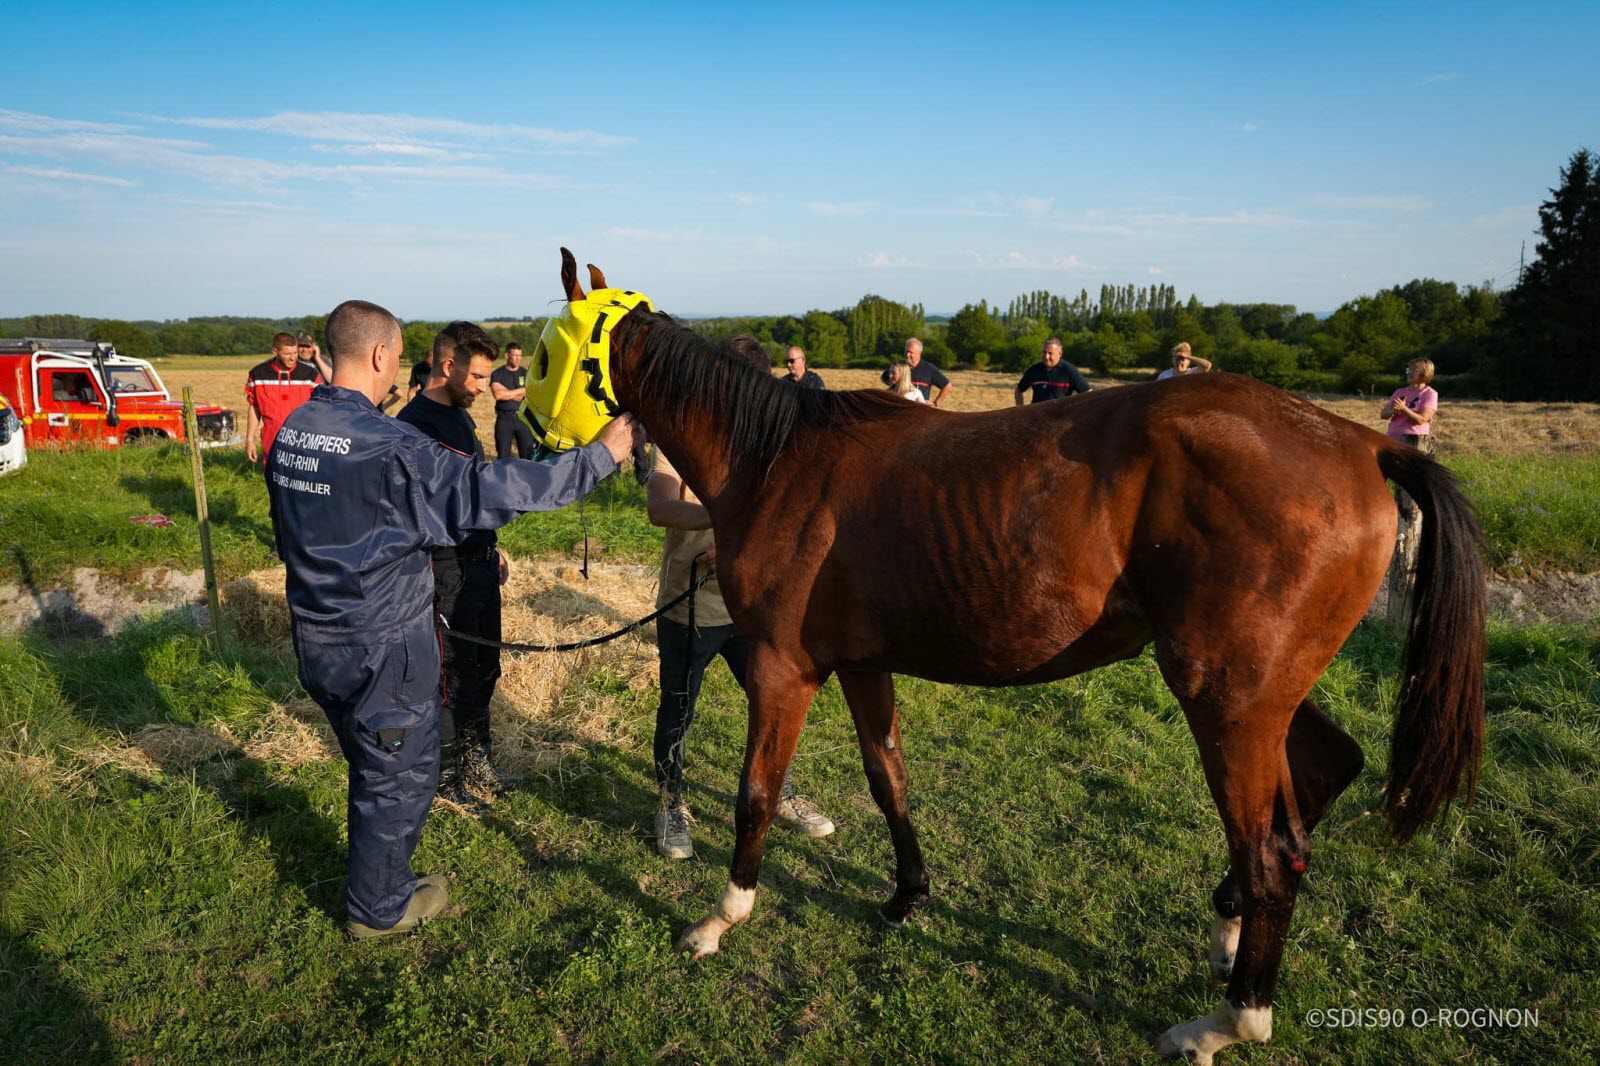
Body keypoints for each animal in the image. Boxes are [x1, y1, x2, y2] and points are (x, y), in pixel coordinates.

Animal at [560, 251, 1485, 1064]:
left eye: (551, 344)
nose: (537, 429)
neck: (779, 460)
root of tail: (1360, 444)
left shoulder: (785, 668)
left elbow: (757, 794)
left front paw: (722, 917)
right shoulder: (862, 663)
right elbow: (888, 776)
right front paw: (907, 895)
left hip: (1228, 701)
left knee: (1271, 860)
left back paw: (1225, 1024)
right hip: (1264, 694)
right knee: (1328, 772)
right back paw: (1227, 931)